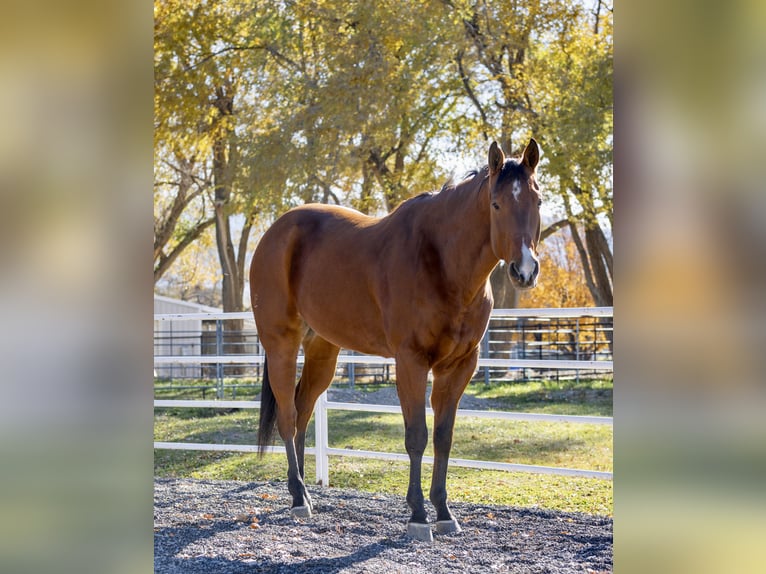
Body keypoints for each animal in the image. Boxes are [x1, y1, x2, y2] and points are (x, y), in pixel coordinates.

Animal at [249, 139, 542, 541]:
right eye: (496, 204)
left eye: (537, 202)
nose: (524, 271)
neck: (442, 262)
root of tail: (275, 233)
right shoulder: (411, 362)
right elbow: (416, 436)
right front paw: (418, 515)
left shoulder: (459, 366)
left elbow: (444, 437)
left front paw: (444, 512)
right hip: (281, 345)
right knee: (288, 418)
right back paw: (297, 498)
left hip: (322, 350)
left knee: (302, 412)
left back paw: (304, 492)